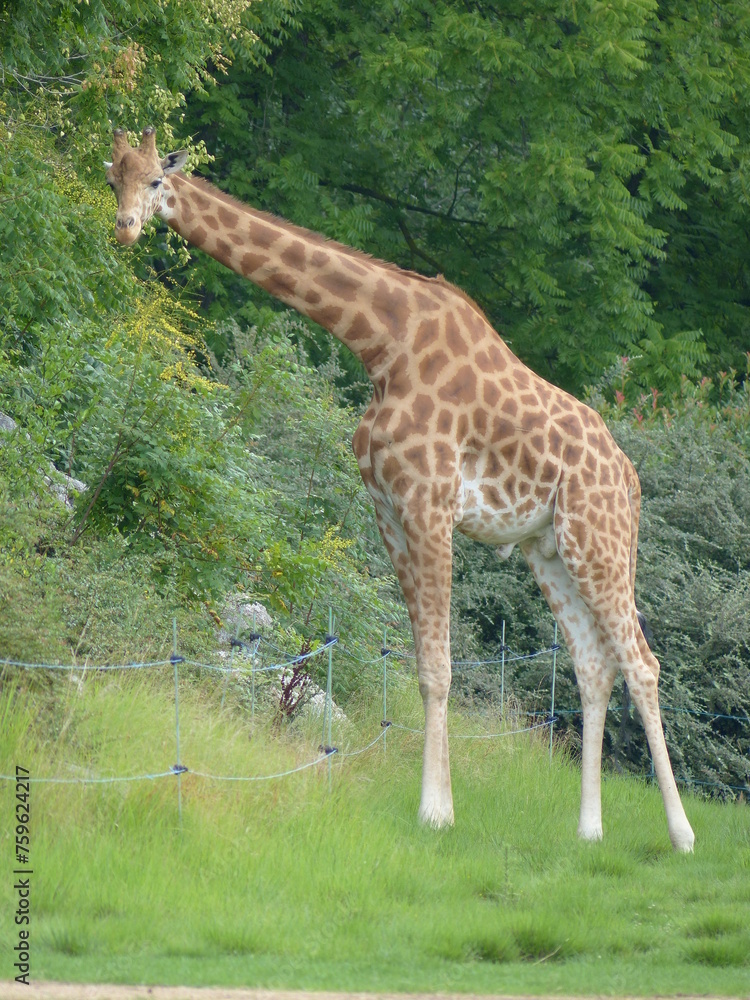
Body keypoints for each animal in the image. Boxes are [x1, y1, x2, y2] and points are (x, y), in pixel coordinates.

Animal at [103, 129, 696, 852]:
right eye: (115, 179)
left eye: (157, 181)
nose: (125, 228)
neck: (379, 342)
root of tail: (631, 479)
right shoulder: (387, 508)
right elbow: (419, 665)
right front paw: (440, 805)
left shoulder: (428, 500)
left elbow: (439, 667)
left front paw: (435, 813)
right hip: (550, 548)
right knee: (592, 663)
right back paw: (588, 830)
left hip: (599, 538)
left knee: (642, 662)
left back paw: (681, 834)